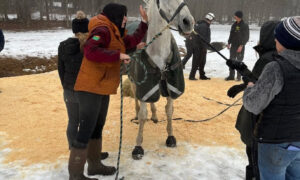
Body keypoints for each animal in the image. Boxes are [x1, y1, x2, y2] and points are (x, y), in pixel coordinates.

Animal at [130, 0, 193, 160]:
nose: (188, 22)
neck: (158, 51)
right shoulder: (145, 87)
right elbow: (142, 115)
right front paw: (138, 146)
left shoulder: (171, 86)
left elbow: (169, 111)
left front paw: (170, 137)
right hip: (134, 82)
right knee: (136, 98)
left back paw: (154, 116)